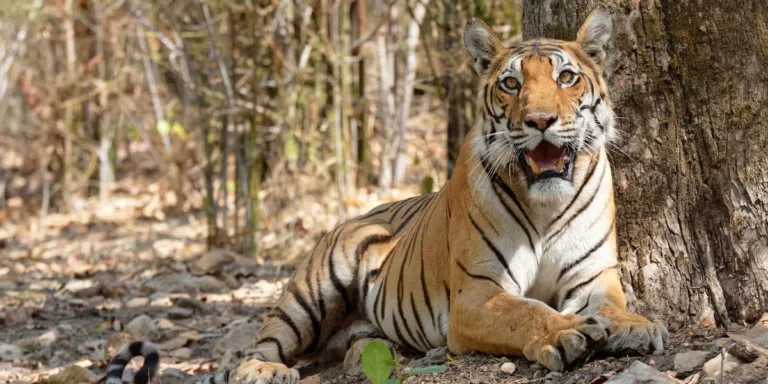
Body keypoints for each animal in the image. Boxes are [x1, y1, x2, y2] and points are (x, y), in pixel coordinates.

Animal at [105, 9, 668, 384]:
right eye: (511, 84)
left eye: (566, 77)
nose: (540, 120)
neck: (544, 202)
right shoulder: (477, 294)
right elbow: (525, 311)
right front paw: (566, 333)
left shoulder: (593, 275)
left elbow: (615, 305)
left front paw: (636, 327)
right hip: (310, 291)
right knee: (263, 341)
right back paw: (263, 370)